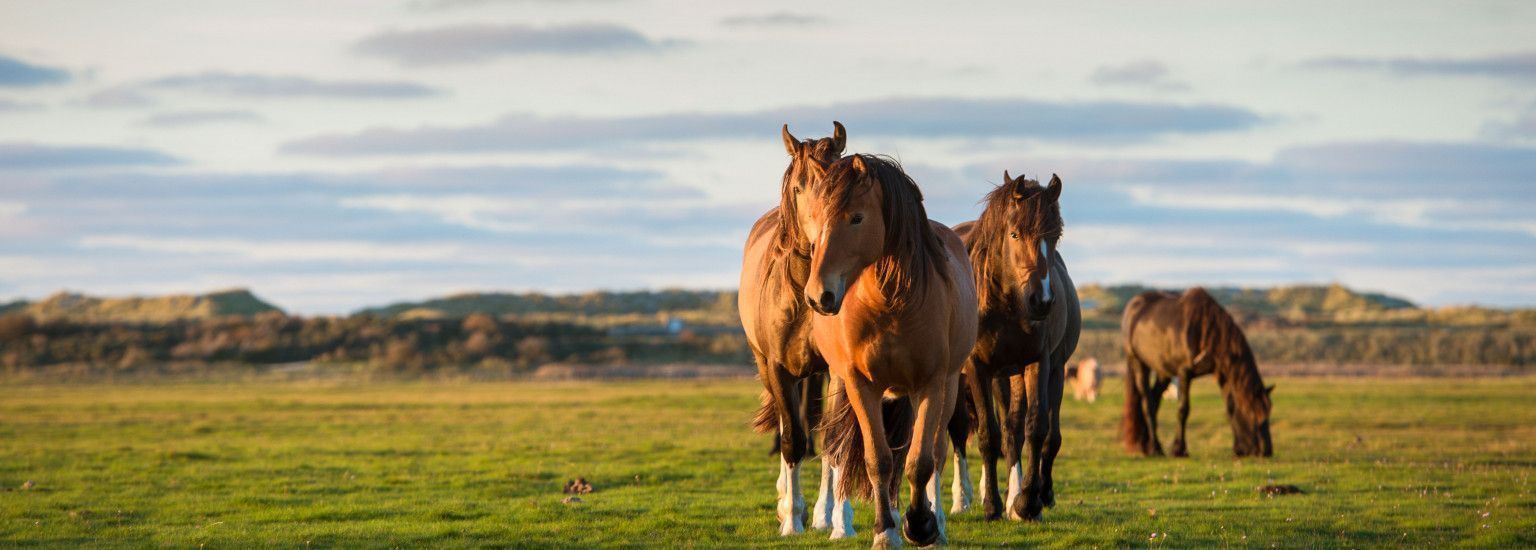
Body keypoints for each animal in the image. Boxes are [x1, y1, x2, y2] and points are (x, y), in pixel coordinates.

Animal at [740, 121, 860, 537]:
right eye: (798, 188)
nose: (825, 235)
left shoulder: (839, 371)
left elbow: (834, 442)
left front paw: (838, 520)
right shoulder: (778, 368)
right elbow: (792, 439)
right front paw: (791, 519)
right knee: (786, 424)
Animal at [804, 154, 970, 550]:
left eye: (856, 218)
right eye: (814, 218)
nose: (819, 295)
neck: (888, 304)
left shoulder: (930, 384)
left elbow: (921, 462)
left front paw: (921, 525)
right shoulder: (861, 385)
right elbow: (878, 460)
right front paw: (885, 531)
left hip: (948, 386)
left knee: (936, 452)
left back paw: (936, 525)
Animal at [946, 170, 1081, 519]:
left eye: (1055, 235)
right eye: (1015, 234)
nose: (1041, 301)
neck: (1005, 305)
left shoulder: (1039, 363)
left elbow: (1035, 429)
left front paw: (1027, 501)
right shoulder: (978, 369)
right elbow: (988, 436)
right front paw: (992, 505)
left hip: (1025, 374)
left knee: (1022, 431)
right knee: (962, 431)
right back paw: (961, 500)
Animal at [1118, 287, 1271, 460]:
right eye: (1252, 414)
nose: (1267, 451)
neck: (1205, 329)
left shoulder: (1223, 374)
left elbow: (1230, 406)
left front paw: (1238, 448)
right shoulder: (1184, 373)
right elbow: (1183, 409)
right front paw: (1179, 449)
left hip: (1163, 370)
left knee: (1154, 398)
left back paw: (1148, 445)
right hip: (1138, 362)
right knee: (1147, 402)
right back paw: (1155, 448)